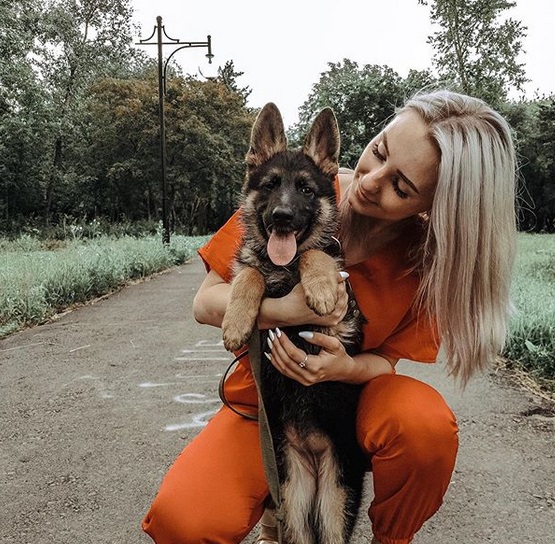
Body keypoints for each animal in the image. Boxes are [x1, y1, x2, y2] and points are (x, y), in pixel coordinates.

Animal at [224, 103, 368, 544]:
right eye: (270, 185)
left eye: (306, 190)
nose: (282, 217)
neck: (283, 273)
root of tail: (313, 451)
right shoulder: (256, 269)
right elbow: (249, 274)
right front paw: (235, 320)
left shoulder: (342, 323)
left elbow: (315, 255)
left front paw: (319, 285)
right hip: (294, 492)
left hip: (337, 498)